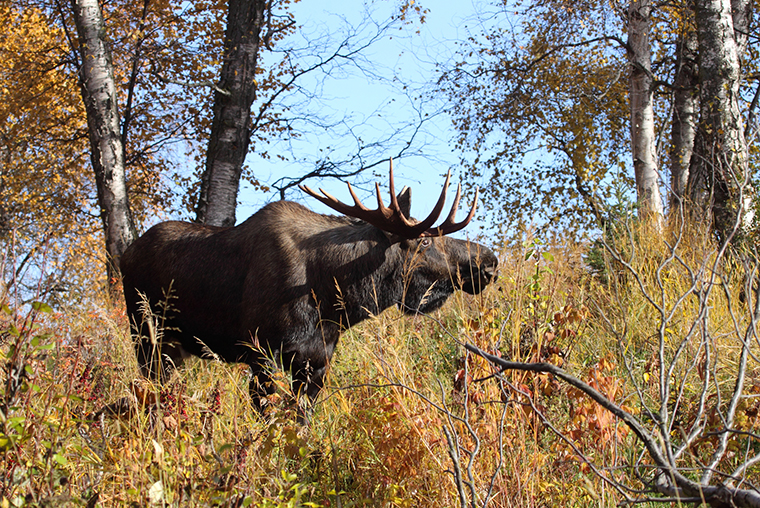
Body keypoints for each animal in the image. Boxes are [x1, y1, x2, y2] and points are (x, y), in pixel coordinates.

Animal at [119, 163, 498, 412]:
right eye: (424, 241)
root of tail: (125, 254)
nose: (489, 261)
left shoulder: (317, 362)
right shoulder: (261, 353)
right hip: (147, 337)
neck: (335, 300)